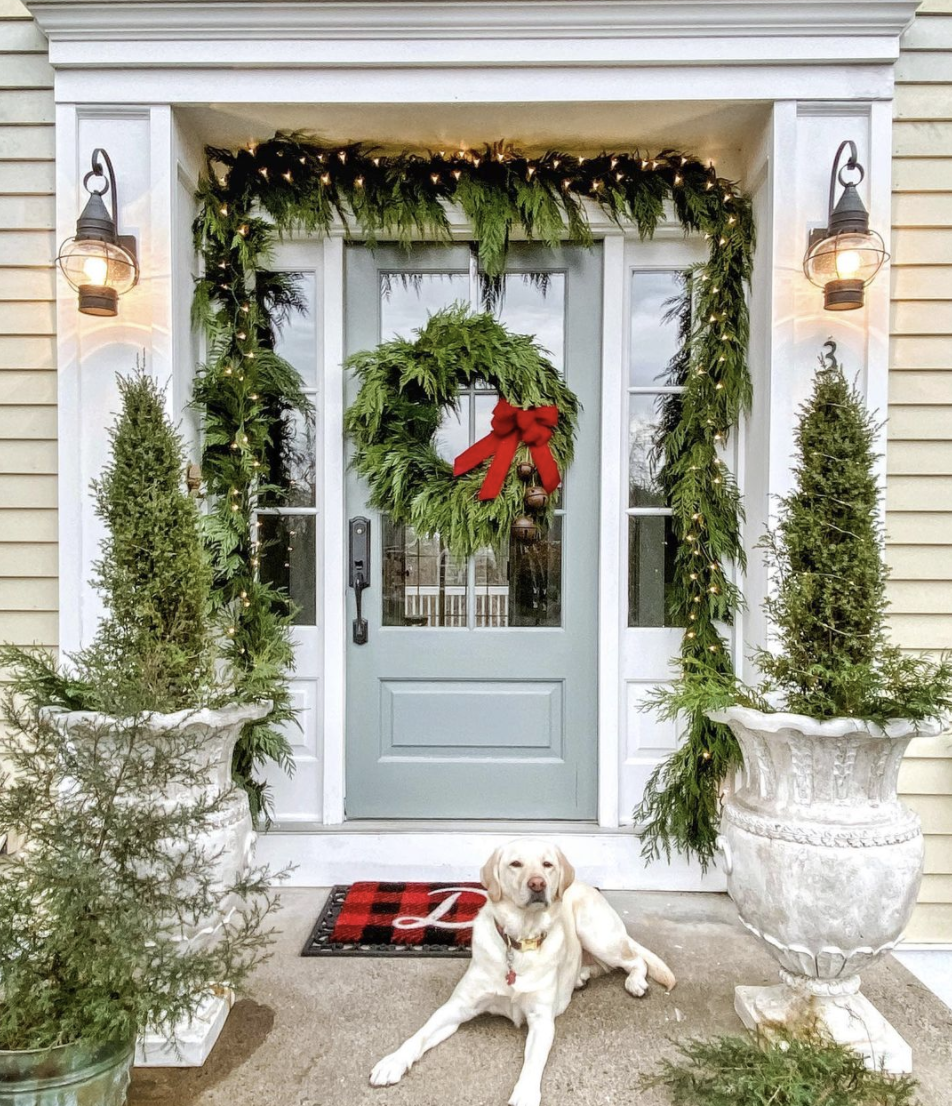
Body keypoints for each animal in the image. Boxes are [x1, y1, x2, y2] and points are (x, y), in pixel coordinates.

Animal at [367, 836, 672, 1106]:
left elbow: (533, 1061)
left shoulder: (541, 1020)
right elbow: (418, 1035)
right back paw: (582, 977)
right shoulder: (456, 1008)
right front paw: (392, 1062)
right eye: (515, 864)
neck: (519, 941)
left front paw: (525, 1093)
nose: (538, 883)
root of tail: (587, 887)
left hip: (596, 934)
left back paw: (635, 982)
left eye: (547, 864)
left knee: (635, 960)